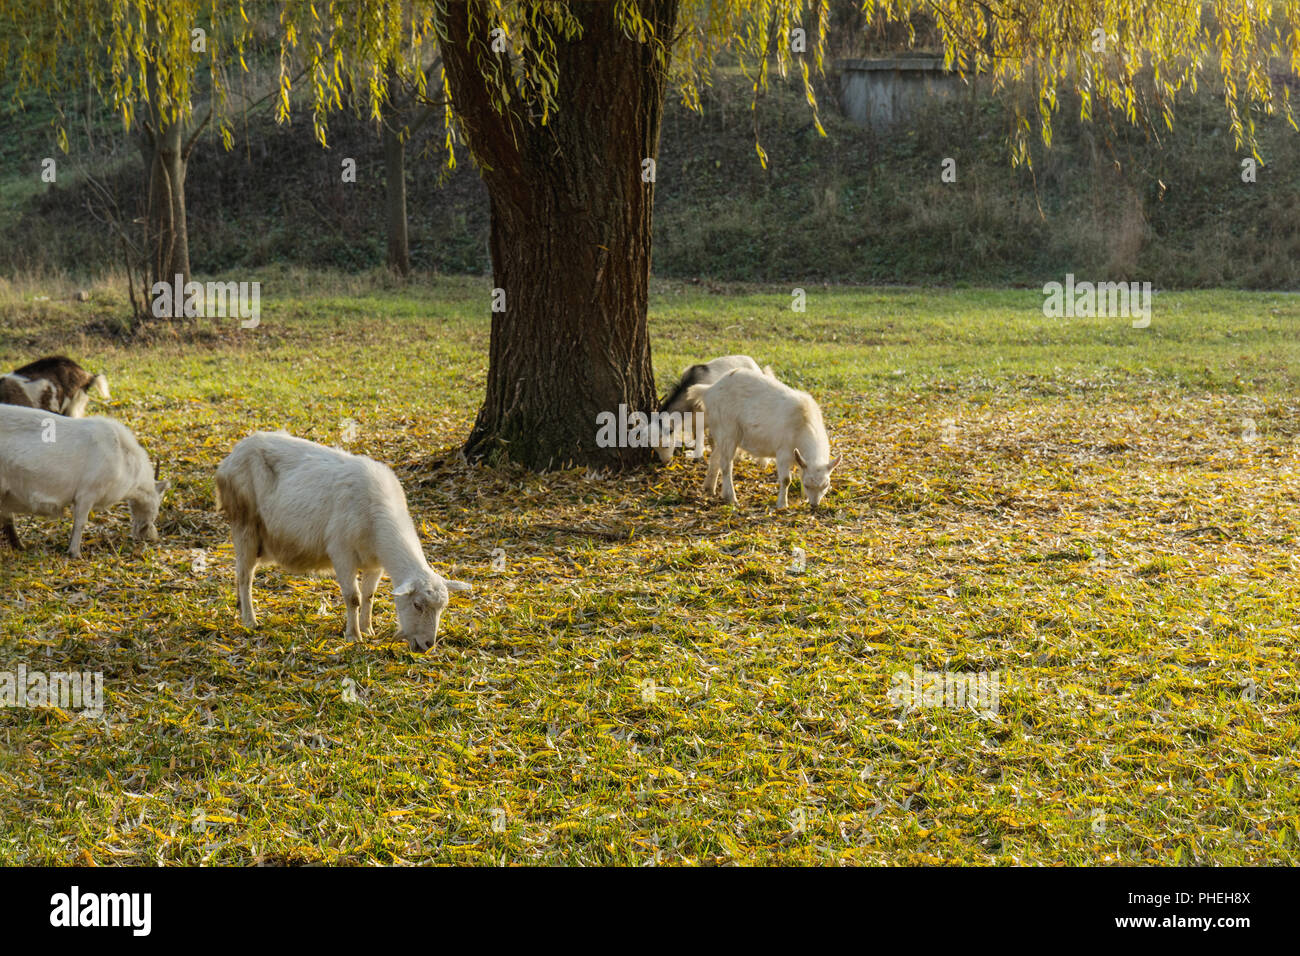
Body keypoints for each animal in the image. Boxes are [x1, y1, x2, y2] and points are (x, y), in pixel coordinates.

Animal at [0, 403, 170, 554]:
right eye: (158, 503)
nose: (149, 536)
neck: (124, 457)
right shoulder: (87, 493)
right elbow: (80, 523)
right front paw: (75, 553)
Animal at [215, 431, 470, 650]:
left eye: (443, 608)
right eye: (417, 605)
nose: (428, 645)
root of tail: (231, 456)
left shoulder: (375, 563)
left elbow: (369, 595)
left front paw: (367, 629)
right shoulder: (342, 553)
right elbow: (353, 598)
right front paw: (353, 635)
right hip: (244, 523)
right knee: (245, 576)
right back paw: (250, 620)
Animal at [686, 369, 837, 512]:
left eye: (826, 485)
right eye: (807, 484)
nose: (814, 505)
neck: (802, 424)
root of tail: (709, 390)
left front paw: (803, 498)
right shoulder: (783, 453)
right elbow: (786, 480)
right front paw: (782, 504)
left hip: (724, 435)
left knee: (715, 457)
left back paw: (709, 489)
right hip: (728, 430)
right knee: (726, 464)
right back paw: (731, 498)